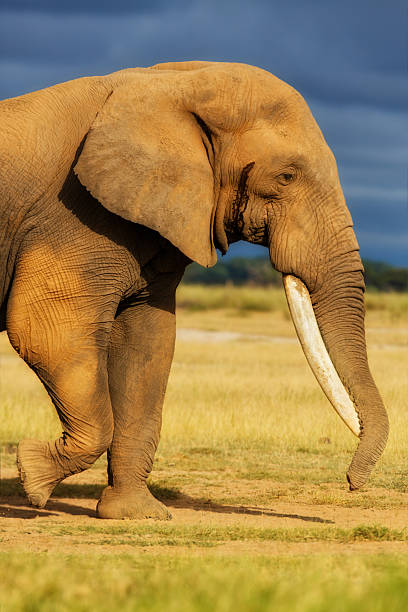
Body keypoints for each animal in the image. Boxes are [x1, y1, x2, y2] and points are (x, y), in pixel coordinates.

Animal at [0, 62, 388, 520]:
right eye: (286, 176)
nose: (351, 483)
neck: (175, 83)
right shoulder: (74, 214)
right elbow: (46, 334)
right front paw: (33, 477)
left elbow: (147, 344)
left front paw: (137, 515)